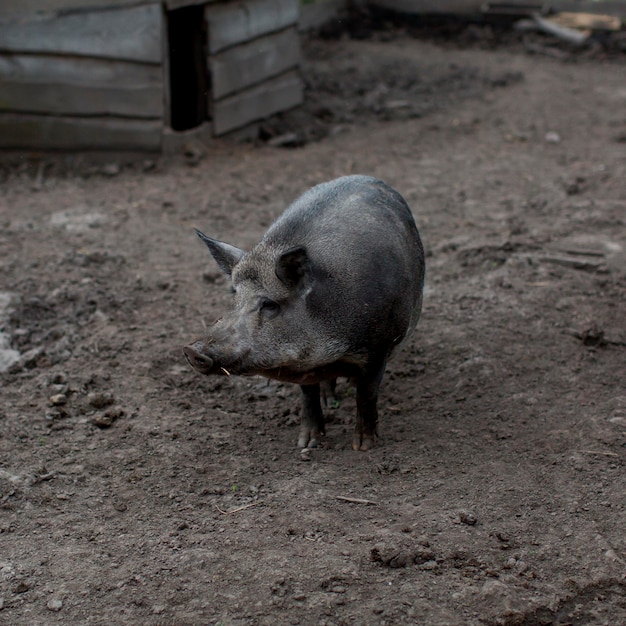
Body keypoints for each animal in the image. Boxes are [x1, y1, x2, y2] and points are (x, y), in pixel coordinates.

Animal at [182, 174, 424, 448]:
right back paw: (330, 401)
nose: (191, 350)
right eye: (234, 293)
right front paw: (307, 443)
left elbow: (366, 394)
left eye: (270, 304)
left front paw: (363, 446)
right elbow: (308, 395)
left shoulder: (380, 347)